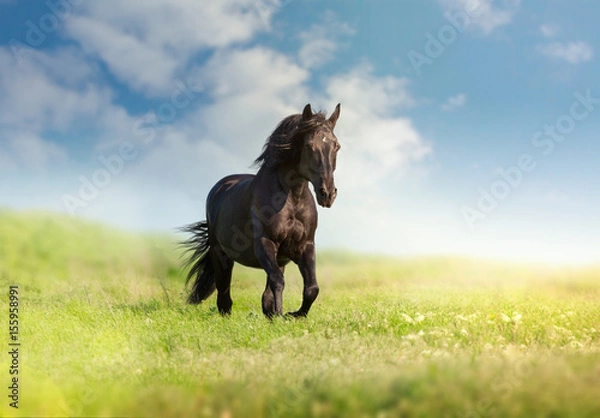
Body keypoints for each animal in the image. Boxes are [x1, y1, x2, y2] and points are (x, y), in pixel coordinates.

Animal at [180, 103, 342, 316]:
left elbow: (311, 288)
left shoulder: (305, 246)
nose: (328, 194)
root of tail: (219, 188)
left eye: (336, 146)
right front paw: (283, 315)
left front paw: (293, 315)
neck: (292, 198)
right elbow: (278, 282)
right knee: (224, 296)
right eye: (309, 146)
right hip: (221, 255)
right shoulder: (265, 243)